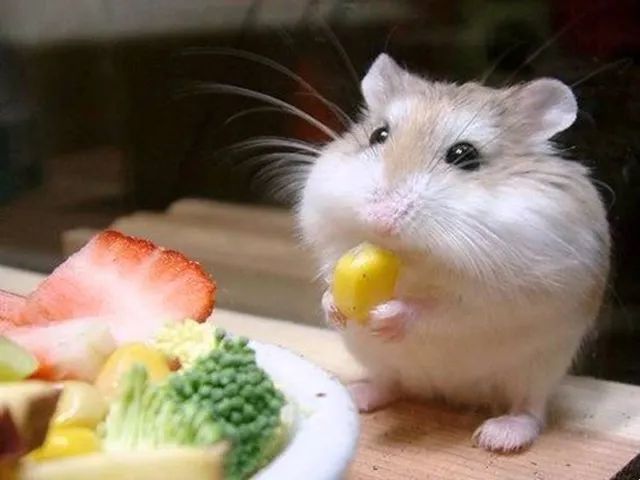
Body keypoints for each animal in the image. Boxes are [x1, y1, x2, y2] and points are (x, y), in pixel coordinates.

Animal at [297, 53, 610, 452]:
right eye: (377, 135)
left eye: (464, 155)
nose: (381, 218)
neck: (412, 257)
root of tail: (447, 393)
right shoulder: (331, 243)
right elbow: (329, 277)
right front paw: (334, 308)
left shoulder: (500, 295)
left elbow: (443, 309)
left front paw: (388, 316)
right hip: (377, 358)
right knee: (390, 383)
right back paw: (357, 394)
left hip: (540, 367)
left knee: (531, 409)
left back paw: (499, 436)